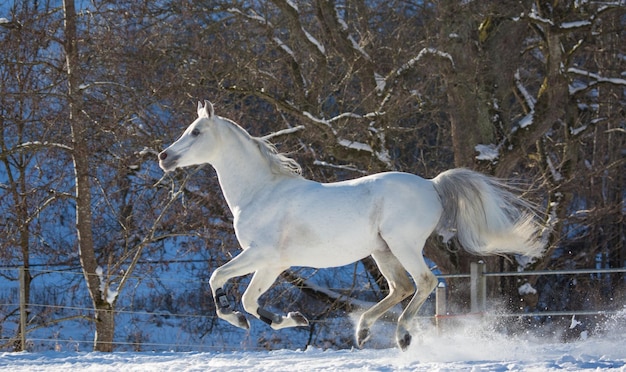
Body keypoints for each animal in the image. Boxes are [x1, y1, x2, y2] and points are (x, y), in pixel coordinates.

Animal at [160, 100, 540, 350]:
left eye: (196, 132)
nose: (164, 157)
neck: (260, 192)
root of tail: (432, 185)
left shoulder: (260, 255)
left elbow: (217, 278)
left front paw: (233, 315)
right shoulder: (273, 263)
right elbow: (251, 301)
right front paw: (292, 319)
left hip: (403, 245)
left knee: (424, 282)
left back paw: (402, 336)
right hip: (381, 250)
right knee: (401, 287)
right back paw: (363, 331)